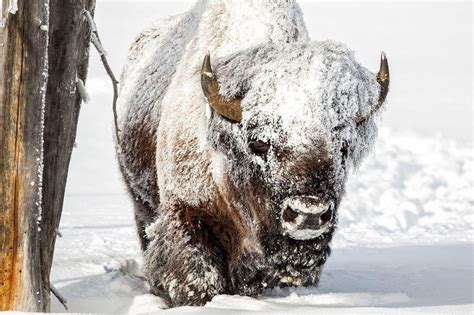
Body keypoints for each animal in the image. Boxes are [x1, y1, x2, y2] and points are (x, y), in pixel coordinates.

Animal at [115, 0, 388, 308]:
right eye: (259, 143)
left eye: (343, 146)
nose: (309, 214)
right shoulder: (186, 212)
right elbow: (198, 277)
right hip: (141, 201)